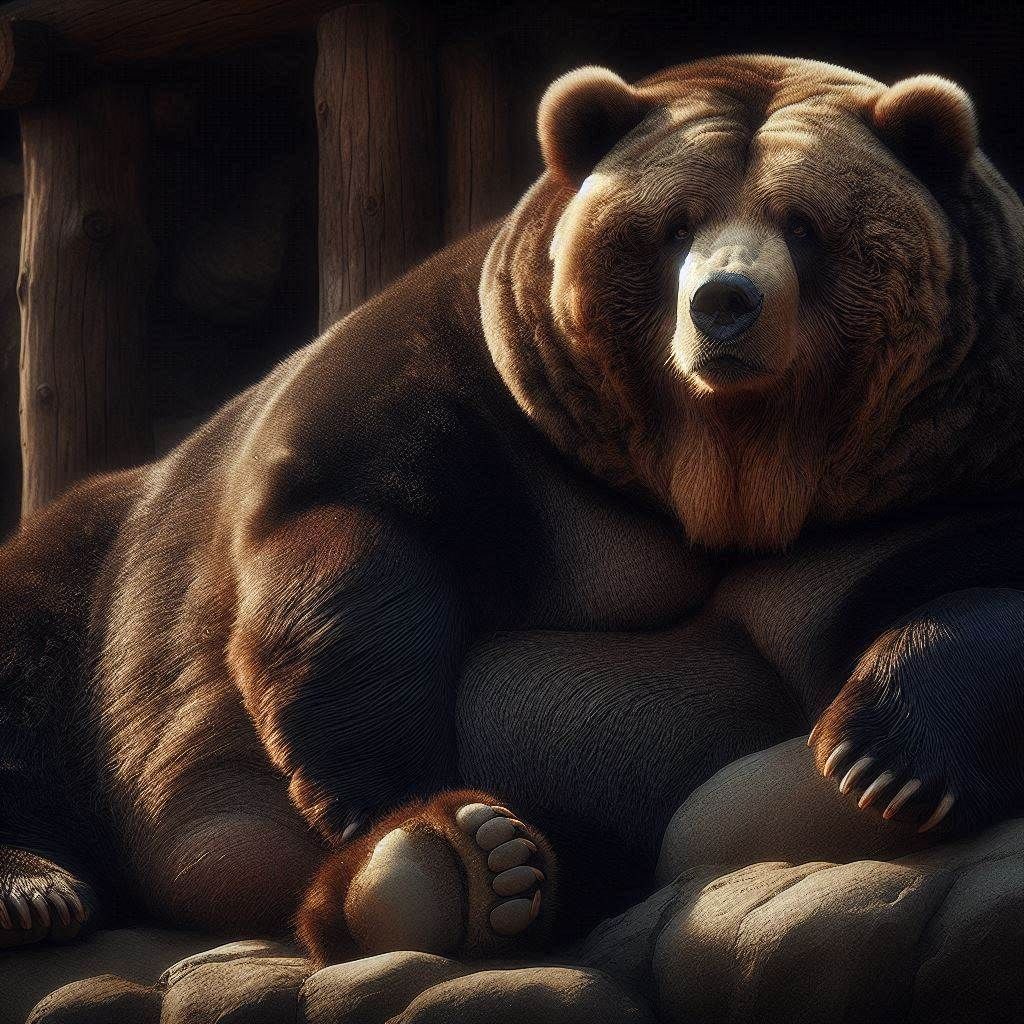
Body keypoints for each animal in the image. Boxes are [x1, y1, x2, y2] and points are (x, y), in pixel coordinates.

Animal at [1, 54, 1023, 968]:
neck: (728, 470)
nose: (722, 304)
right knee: (33, 663)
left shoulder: (935, 465)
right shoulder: (485, 394)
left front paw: (884, 761)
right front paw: (379, 801)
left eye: (804, 224)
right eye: (673, 225)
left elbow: (974, 595)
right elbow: (353, 555)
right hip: (93, 586)